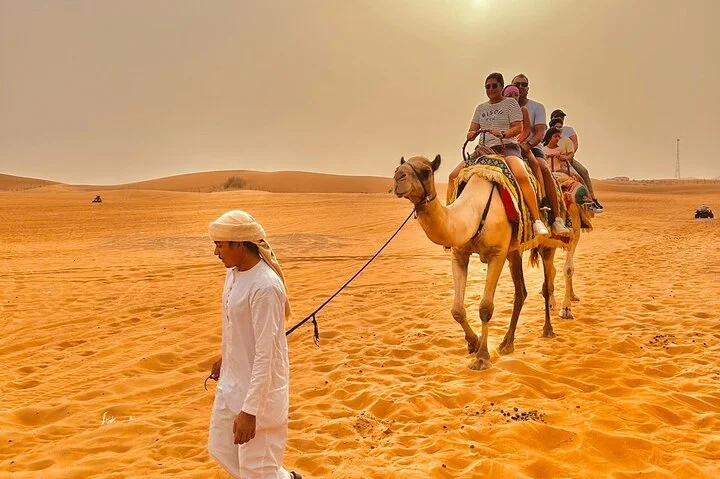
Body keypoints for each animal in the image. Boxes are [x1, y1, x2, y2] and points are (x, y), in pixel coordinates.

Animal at [393, 154, 560, 370]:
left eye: (426, 171)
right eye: (398, 167)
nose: (398, 177)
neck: (475, 211)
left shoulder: (497, 254)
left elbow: (486, 308)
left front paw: (482, 357)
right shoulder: (459, 254)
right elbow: (456, 310)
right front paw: (474, 343)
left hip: (546, 244)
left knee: (546, 284)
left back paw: (547, 330)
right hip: (514, 252)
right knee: (521, 291)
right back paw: (507, 344)